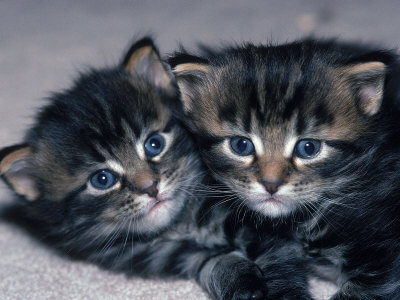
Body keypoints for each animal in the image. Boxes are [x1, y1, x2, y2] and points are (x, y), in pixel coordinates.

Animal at [1, 37, 268, 300]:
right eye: (102, 179)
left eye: (154, 144)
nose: (151, 187)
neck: (181, 226)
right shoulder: (171, 254)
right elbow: (211, 262)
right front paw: (239, 280)